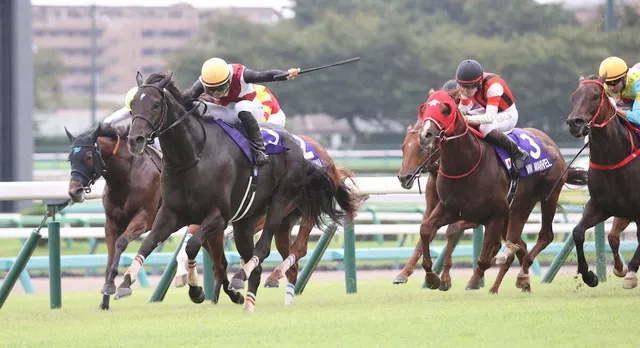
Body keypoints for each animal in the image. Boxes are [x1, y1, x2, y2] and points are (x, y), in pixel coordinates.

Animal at [117, 72, 342, 312]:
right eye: (132, 105)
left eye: (156, 104)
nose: (135, 140)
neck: (192, 157)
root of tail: (299, 146)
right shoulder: (171, 214)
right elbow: (148, 243)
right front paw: (125, 282)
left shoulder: (219, 216)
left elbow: (192, 246)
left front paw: (196, 290)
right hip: (246, 221)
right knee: (257, 262)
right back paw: (249, 303)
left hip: (280, 203)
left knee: (265, 250)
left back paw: (243, 277)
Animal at [418, 89, 588, 294]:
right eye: (425, 108)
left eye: (445, 109)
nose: (425, 135)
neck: (466, 164)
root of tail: (553, 146)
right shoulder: (449, 208)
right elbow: (426, 229)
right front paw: (431, 277)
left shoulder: (496, 214)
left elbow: (484, 258)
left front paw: (472, 280)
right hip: (519, 207)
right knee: (518, 243)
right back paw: (521, 281)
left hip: (548, 197)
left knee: (544, 236)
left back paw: (516, 276)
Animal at [568, 73, 640, 288]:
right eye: (573, 97)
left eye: (595, 96)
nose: (574, 123)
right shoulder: (601, 206)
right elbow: (578, 232)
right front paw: (589, 275)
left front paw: (631, 273)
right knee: (613, 236)